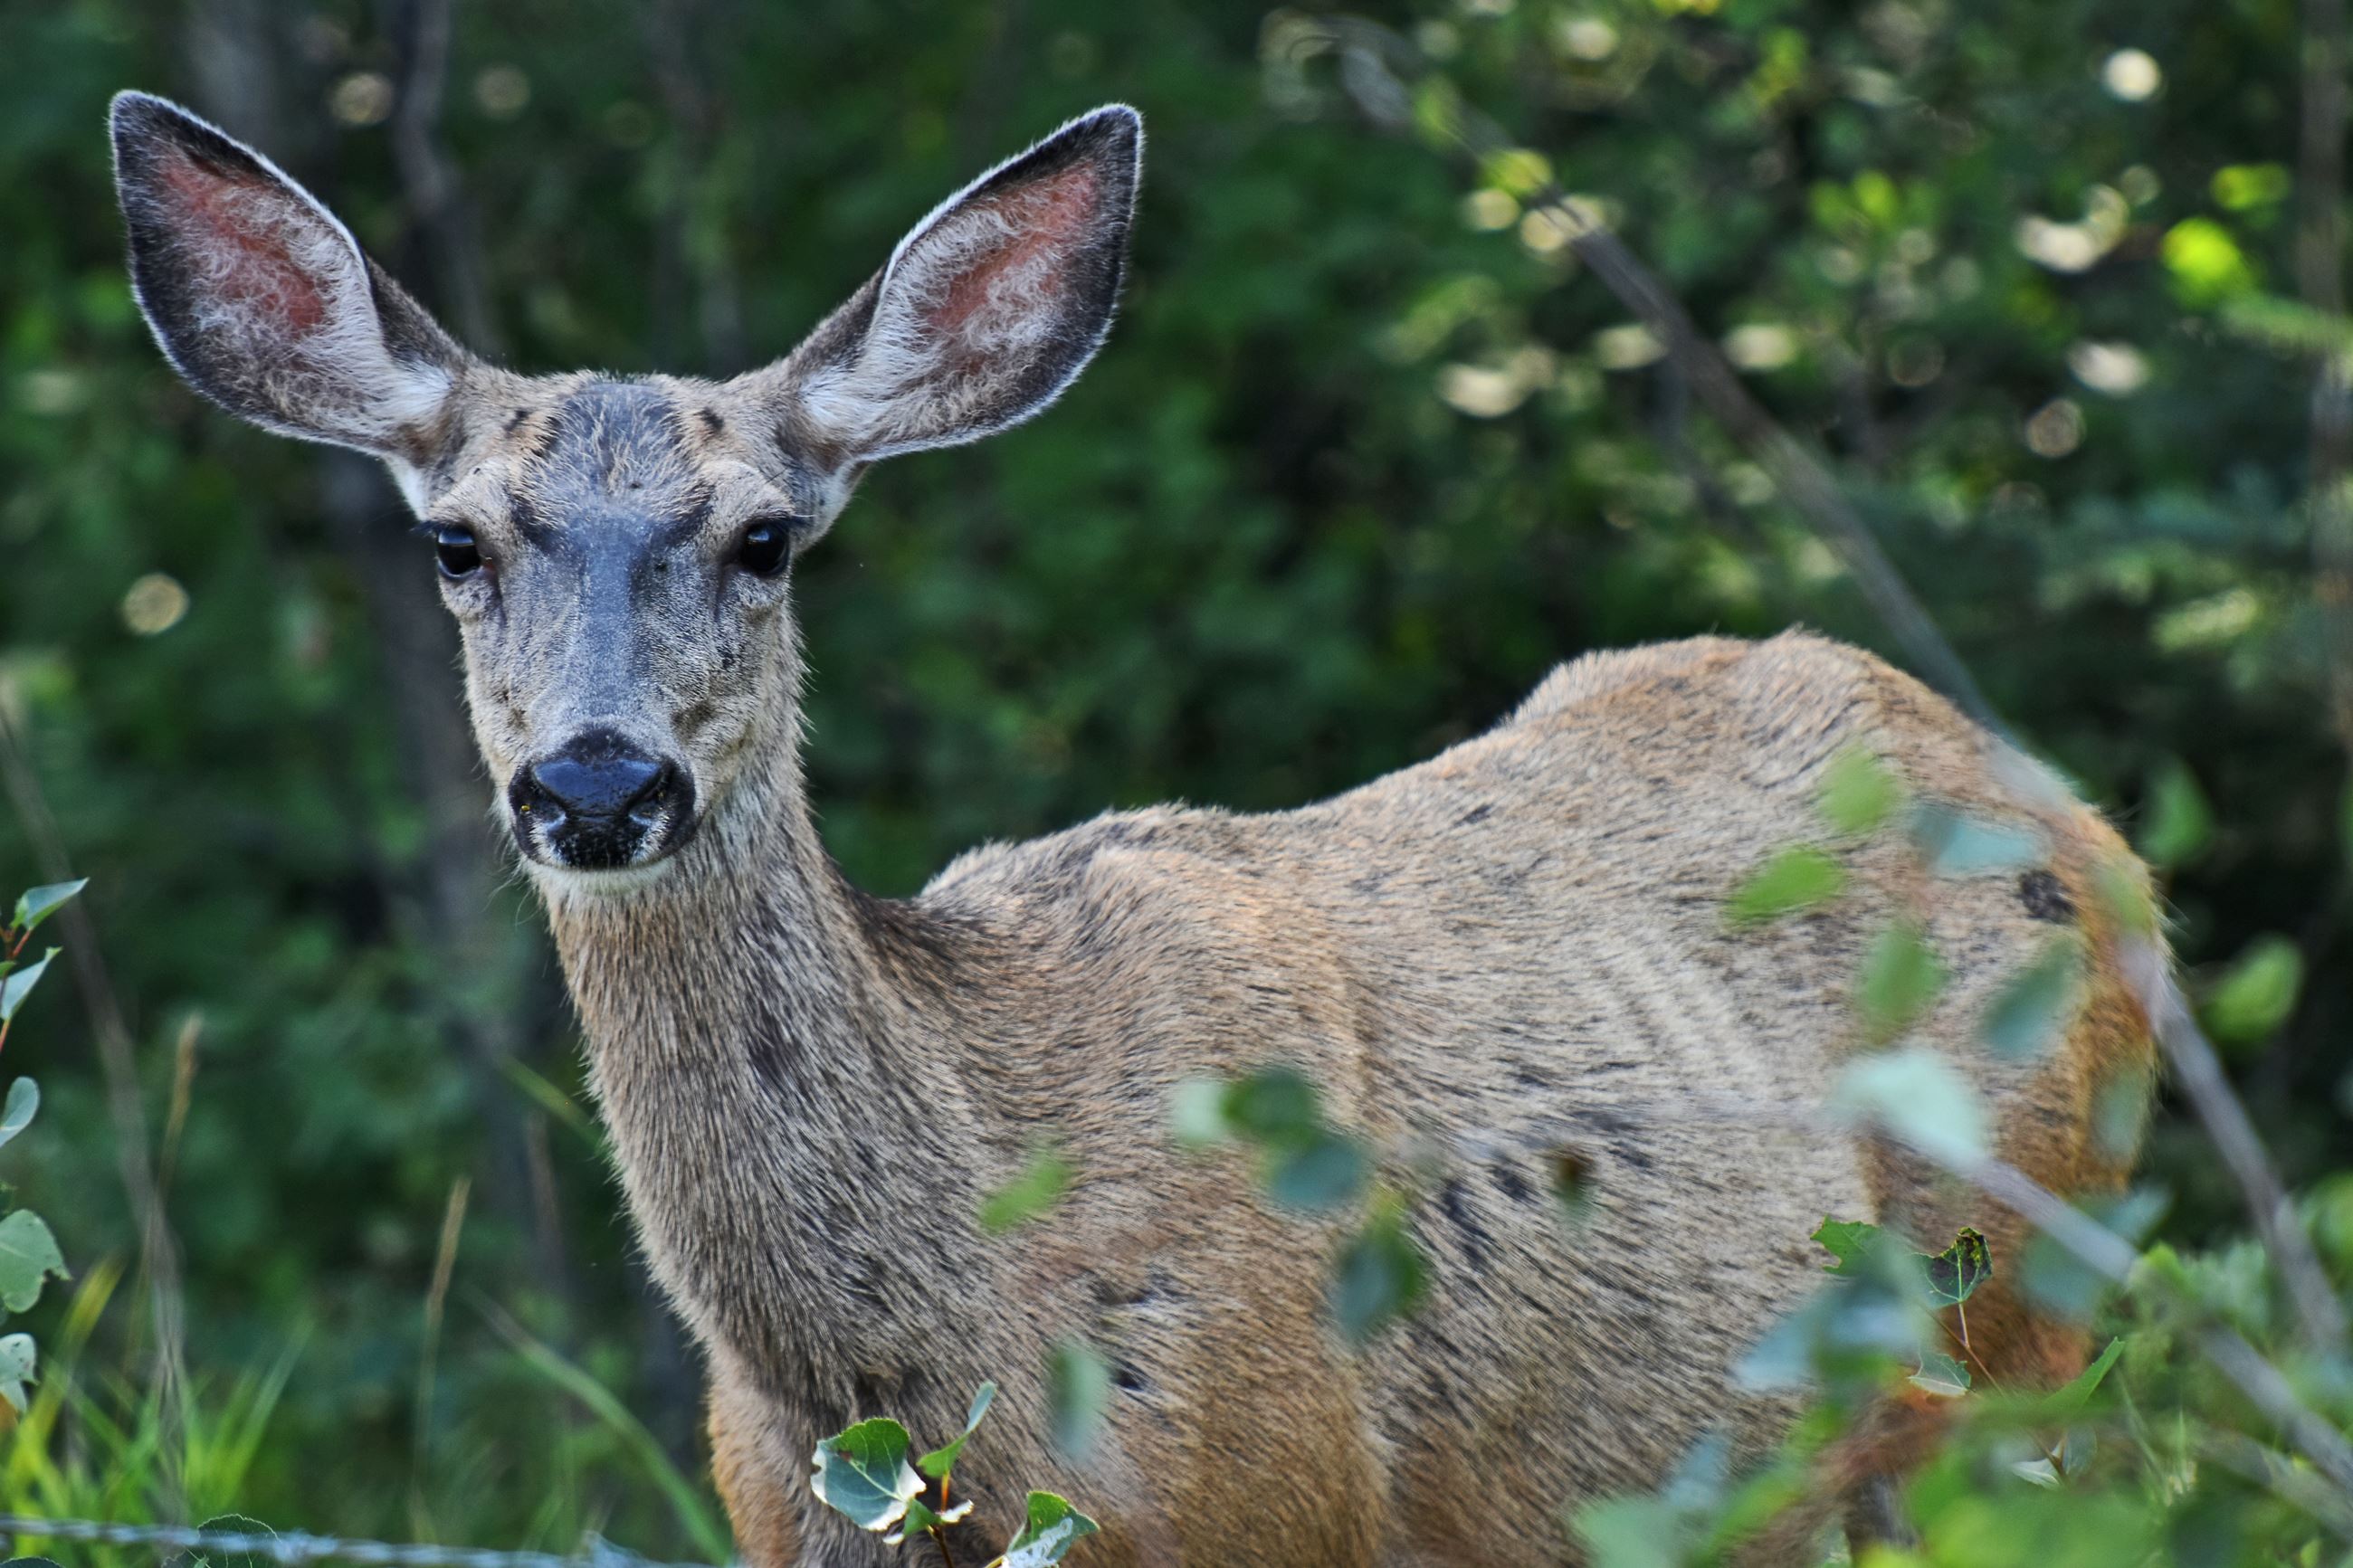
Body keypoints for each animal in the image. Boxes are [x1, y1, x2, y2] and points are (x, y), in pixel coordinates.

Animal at [109, 90, 2158, 1566]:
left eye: (766, 537)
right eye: (456, 544)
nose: (599, 786)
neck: (918, 1373)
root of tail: (2077, 818)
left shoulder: (1276, 1497)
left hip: (2028, 1327)